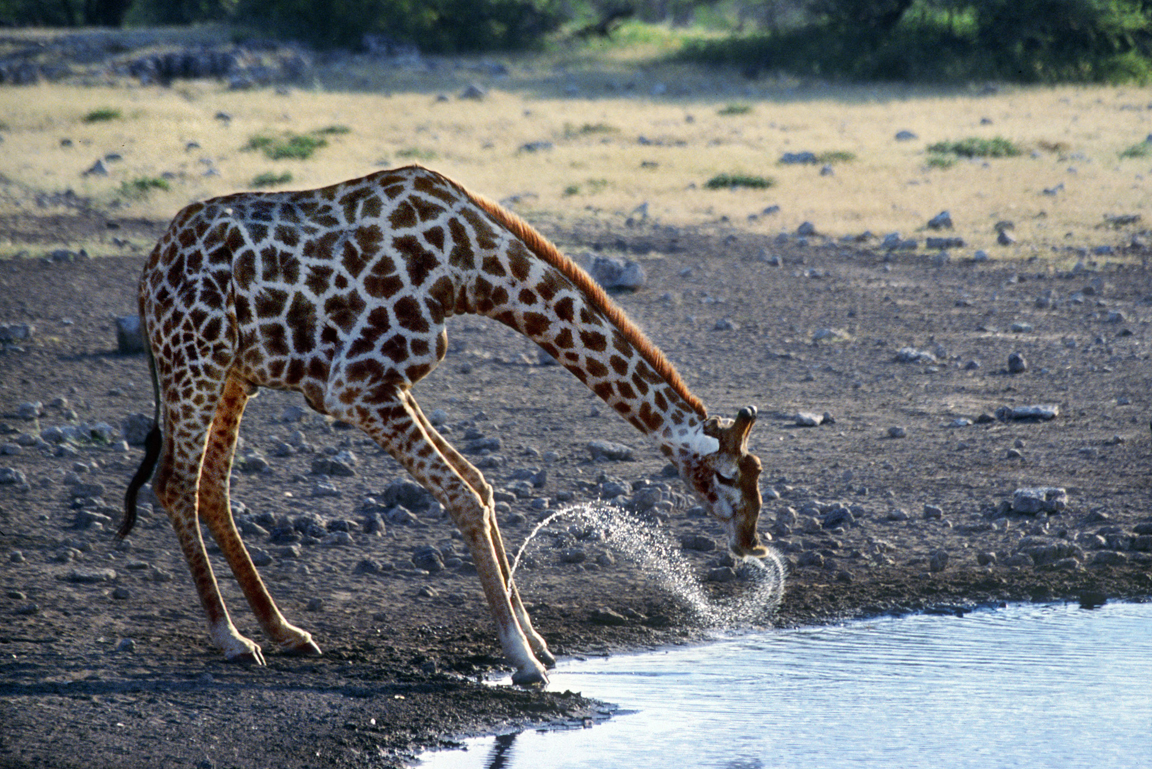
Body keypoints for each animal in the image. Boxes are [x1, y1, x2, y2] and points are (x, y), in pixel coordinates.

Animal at [121, 164, 767, 686]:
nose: (751, 543)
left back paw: (285, 632)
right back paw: (231, 639)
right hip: (196, 359)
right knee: (174, 484)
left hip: (234, 372)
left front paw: (536, 642)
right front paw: (523, 660)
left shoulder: (392, 383)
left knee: (211, 486)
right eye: (727, 477)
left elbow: (479, 484)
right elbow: (463, 497)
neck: (469, 271)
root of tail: (148, 272)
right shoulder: (355, 386)